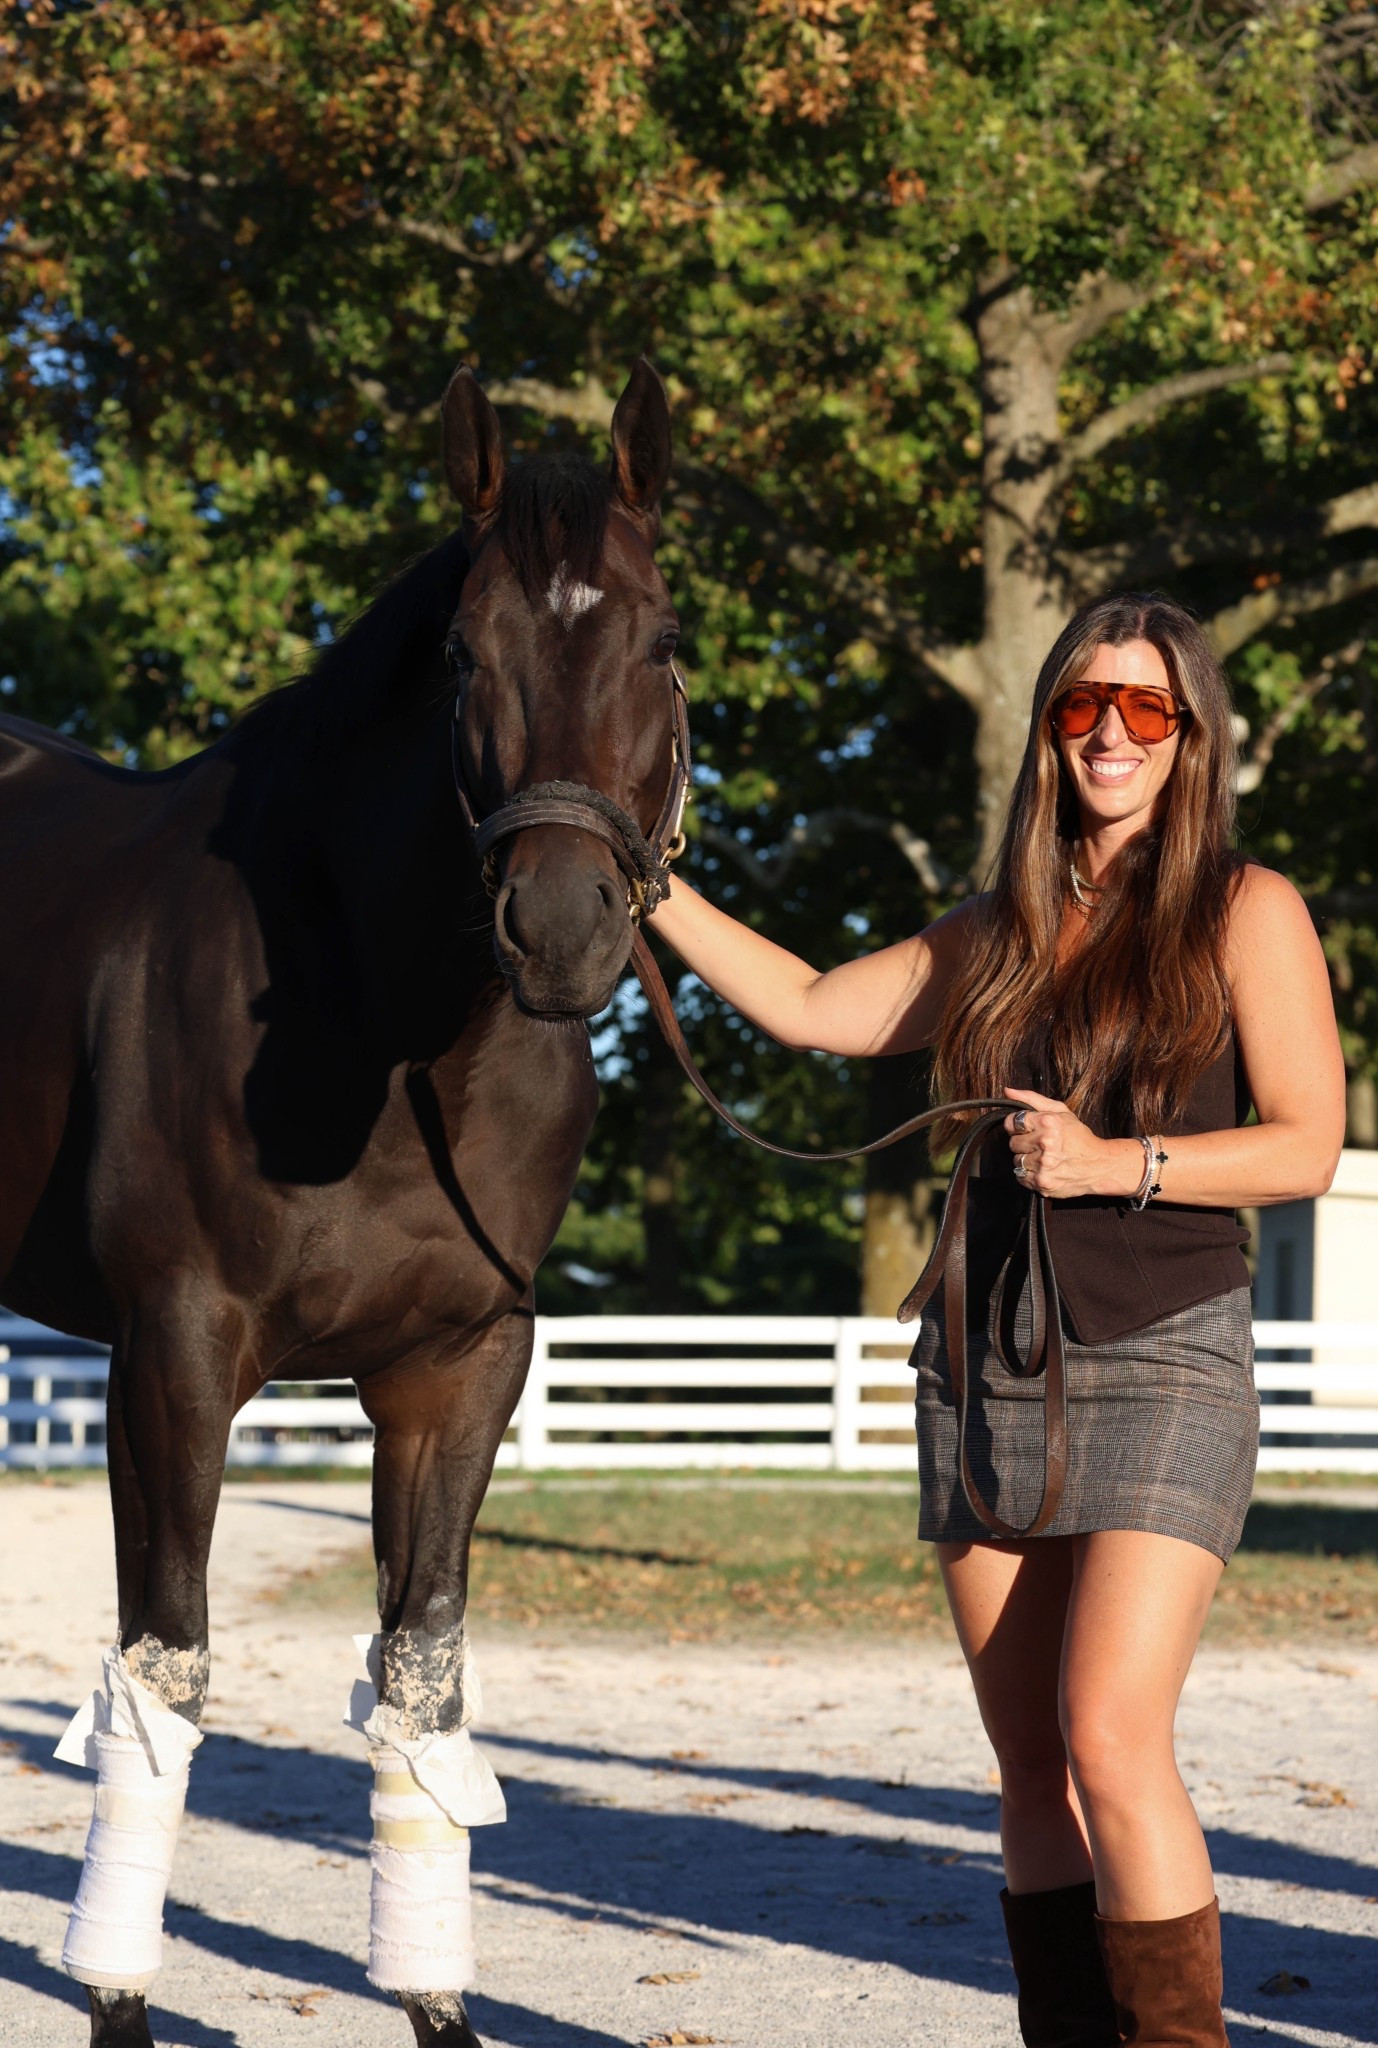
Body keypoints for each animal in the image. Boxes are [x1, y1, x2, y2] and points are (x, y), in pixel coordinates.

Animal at [0, 359, 686, 2048]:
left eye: (661, 640)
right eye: (459, 656)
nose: (560, 927)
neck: (382, 1039)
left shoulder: (459, 1369)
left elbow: (420, 1685)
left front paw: (438, 2001)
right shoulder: (173, 1356)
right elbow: (163, 1677)